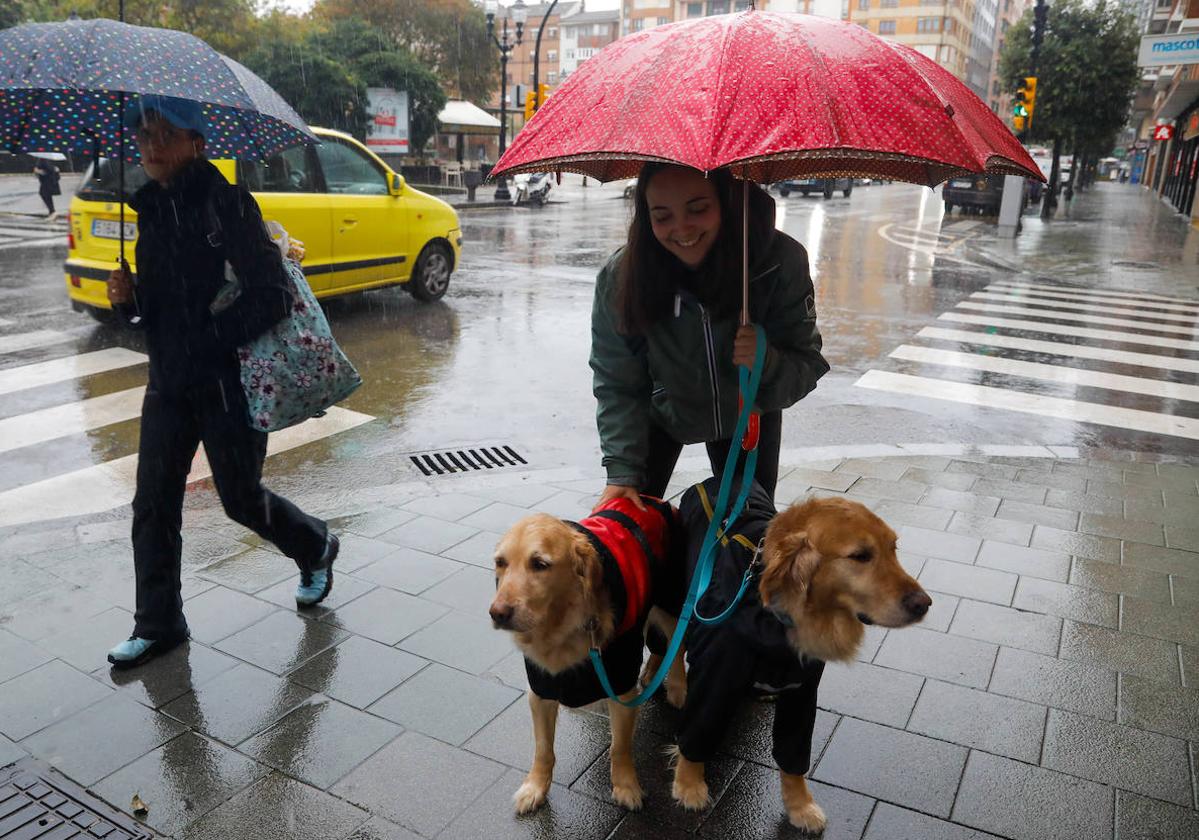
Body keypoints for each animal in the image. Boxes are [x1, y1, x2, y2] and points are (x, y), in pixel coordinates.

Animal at [671, 493, 930, 829]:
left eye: (893, 548)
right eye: (861, 556)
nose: (924, 604)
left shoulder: (802, 691)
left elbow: (793, 755)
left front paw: (800, 805)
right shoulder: (714, 680)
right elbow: (697, 733)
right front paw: (688, 784)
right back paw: (675, 686)